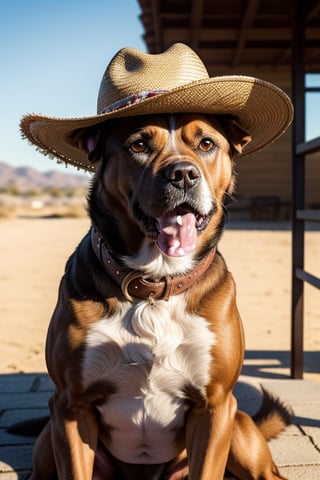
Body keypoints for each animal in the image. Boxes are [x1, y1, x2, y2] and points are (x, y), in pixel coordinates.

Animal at [20, 43, 294, 478]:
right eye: (139, 145)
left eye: (206, 144)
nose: (183, 175)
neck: (153, 284)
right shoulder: (70, 407)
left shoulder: (216, 405)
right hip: (49, 442)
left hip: (239, 432)